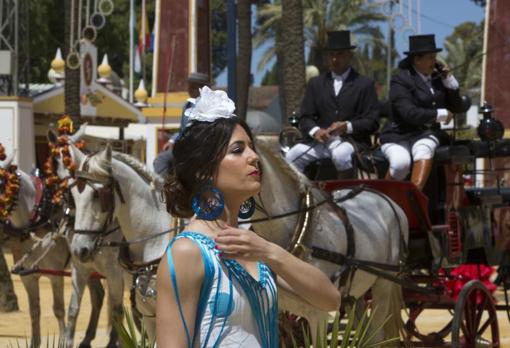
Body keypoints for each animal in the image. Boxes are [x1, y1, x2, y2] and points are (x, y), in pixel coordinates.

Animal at [0, 151, 104, 346]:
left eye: (2, 185)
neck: (38, 217)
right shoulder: (28, 276)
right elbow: (34, 310)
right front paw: (34, 343)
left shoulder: (55, 273)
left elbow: (58, 308)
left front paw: (62, 340)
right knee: (98, 295)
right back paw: (88, 338)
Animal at [47, 131, 125, 348]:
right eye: (54, 162)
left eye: (73, 165)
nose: (65, 200)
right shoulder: (81, 265)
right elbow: (74, 307)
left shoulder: (114, 271)